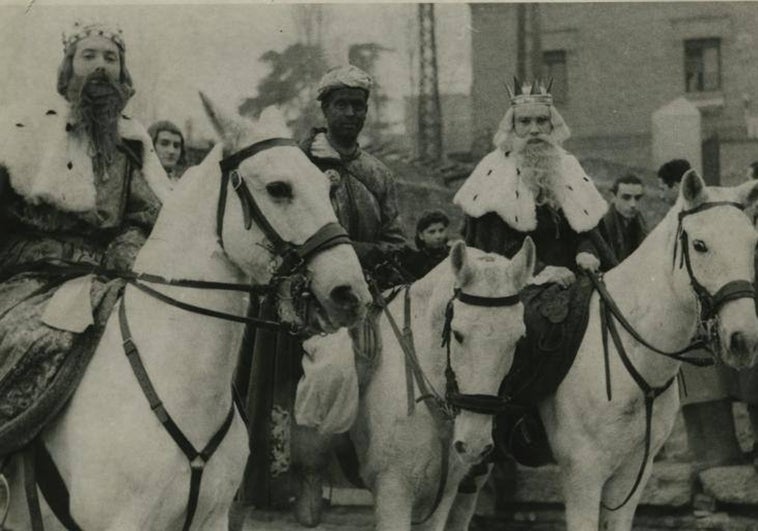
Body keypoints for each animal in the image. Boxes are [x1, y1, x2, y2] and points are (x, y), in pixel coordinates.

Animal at [454, 171, 758, 531]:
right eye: (700, 245)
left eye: (753, 244)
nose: (744, 339)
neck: (629, 353)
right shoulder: (583, 475)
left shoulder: (632, 475)